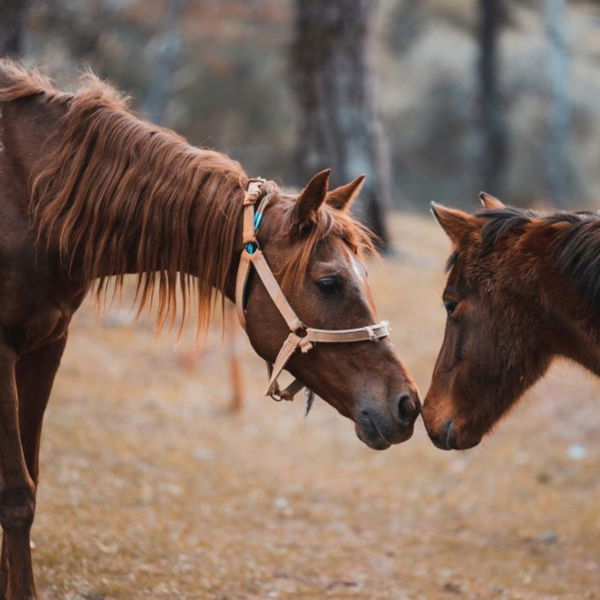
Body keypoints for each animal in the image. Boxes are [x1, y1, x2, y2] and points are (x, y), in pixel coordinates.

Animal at [0, 62, 418, 600]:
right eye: (330, 283)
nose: (408, 404)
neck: (31, 198)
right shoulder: (3, 353)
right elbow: (17, 493)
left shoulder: (46, 346)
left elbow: (31, 477)